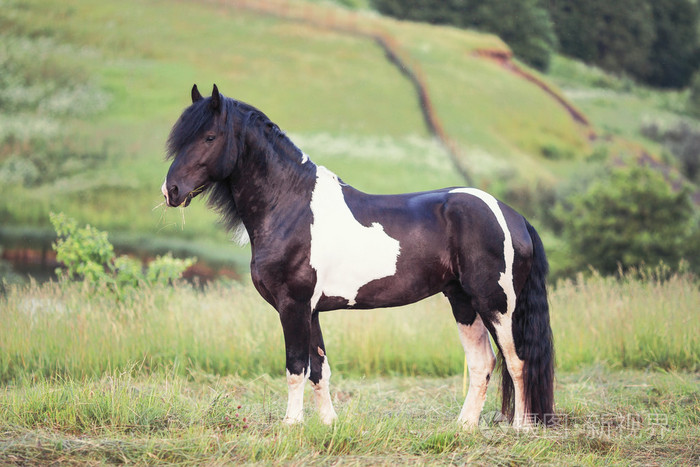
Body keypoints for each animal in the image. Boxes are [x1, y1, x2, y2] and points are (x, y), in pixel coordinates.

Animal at [162, 84, 555, 428]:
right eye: (181, 139)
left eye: (209, 137)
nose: (171, 191)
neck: (290, 206)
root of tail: (513, 215)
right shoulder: (311, 310)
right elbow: (319, 369)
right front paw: (327, 424)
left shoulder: (294, 304)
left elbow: (295, 367)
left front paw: (291, 425)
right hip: (462, 301)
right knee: (482, 362)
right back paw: (465, 426)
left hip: (496, 303)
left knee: (517, 361)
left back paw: (521, 428)